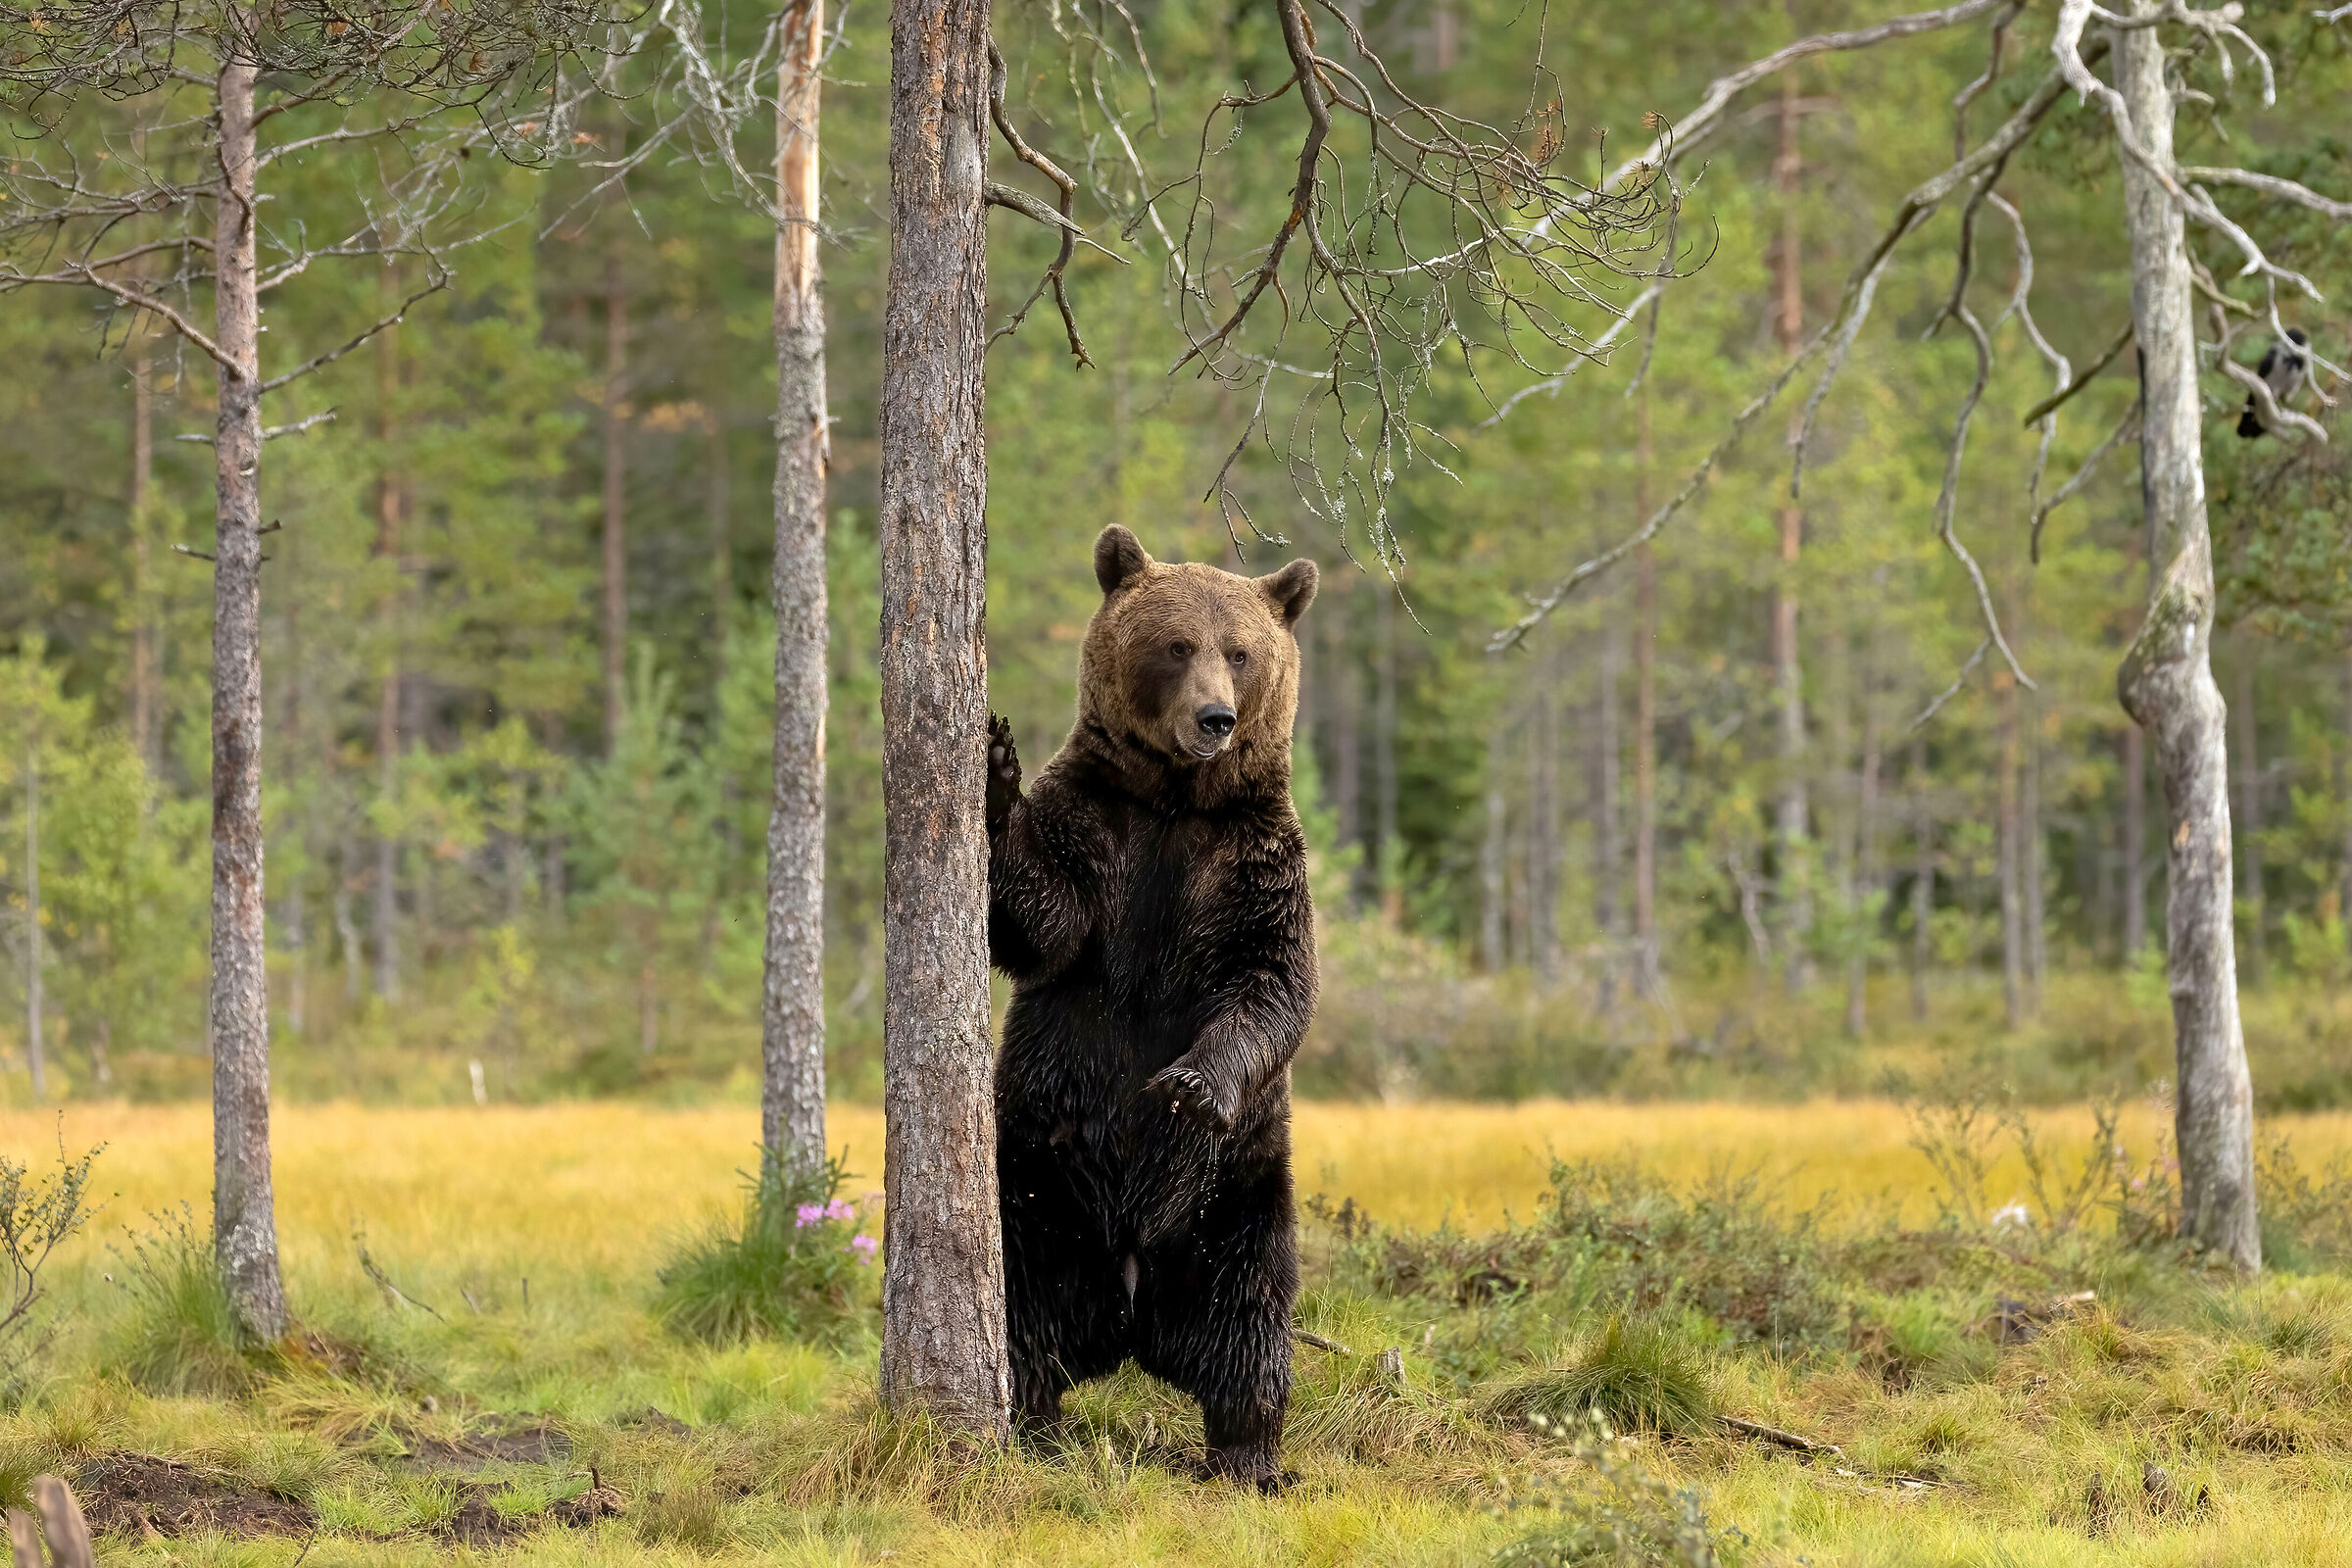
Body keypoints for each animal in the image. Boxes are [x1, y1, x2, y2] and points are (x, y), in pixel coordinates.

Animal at [985, 523, 1321, 1489]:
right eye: (1176, 645)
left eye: (1240, 652)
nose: (1214, 719)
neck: (1175, 800)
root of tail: (1132, 1305)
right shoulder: (1100, 830)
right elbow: (1043, 925)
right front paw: (995, 768)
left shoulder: (1252, 861)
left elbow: (1273, 985)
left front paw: (1188, 1085)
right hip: (1040, 1177)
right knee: (1027, 1311)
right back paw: (1038, 1426)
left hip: (1234, 1194)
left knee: (1247, 1318)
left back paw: (1250, 1455)